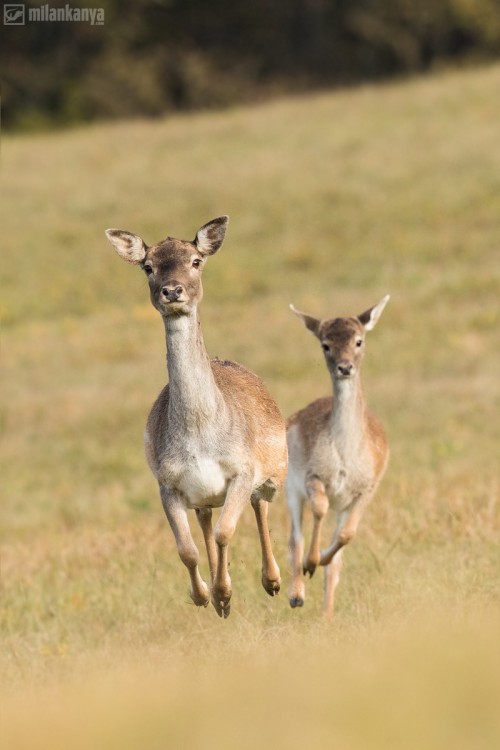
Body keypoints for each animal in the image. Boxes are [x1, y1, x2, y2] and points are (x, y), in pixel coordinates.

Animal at [104, 216, 286, 616]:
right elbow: (187, 549)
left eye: (196, 261)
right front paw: (208, 596)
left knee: (260, 505)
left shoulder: (242, 471)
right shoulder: (167, 483)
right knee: (204, 518)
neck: (200, 436)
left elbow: (225, 531)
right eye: (148, 266)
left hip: (274, 472)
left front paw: (225, 593)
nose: (172, 291)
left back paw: (273, 581)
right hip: (203, 494)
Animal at [286, 296, 390, 620]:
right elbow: (318, 509)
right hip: (288, 486)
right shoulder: (313, 476)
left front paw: (321, 559)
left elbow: (346, 537)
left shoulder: (367, 489)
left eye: (359, 340)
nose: (345, 368)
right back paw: (296, 594)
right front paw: (311, 562)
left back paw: (326, 613)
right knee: (294, 538)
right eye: (325, 344)